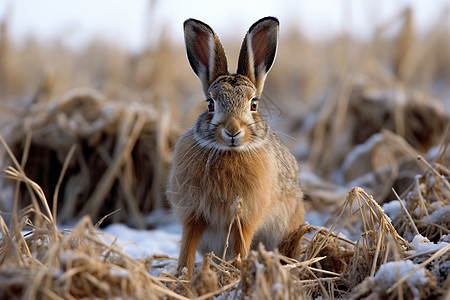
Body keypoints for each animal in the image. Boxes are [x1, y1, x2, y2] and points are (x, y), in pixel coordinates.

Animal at [169, 16, 306, 278]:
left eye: (253, 104)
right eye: (210, 104)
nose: (232, 130)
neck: (229, 153)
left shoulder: (245, 218)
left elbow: (240, 246)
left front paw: (236, 272)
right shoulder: (194, 214)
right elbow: (187, 247)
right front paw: (182, 277)